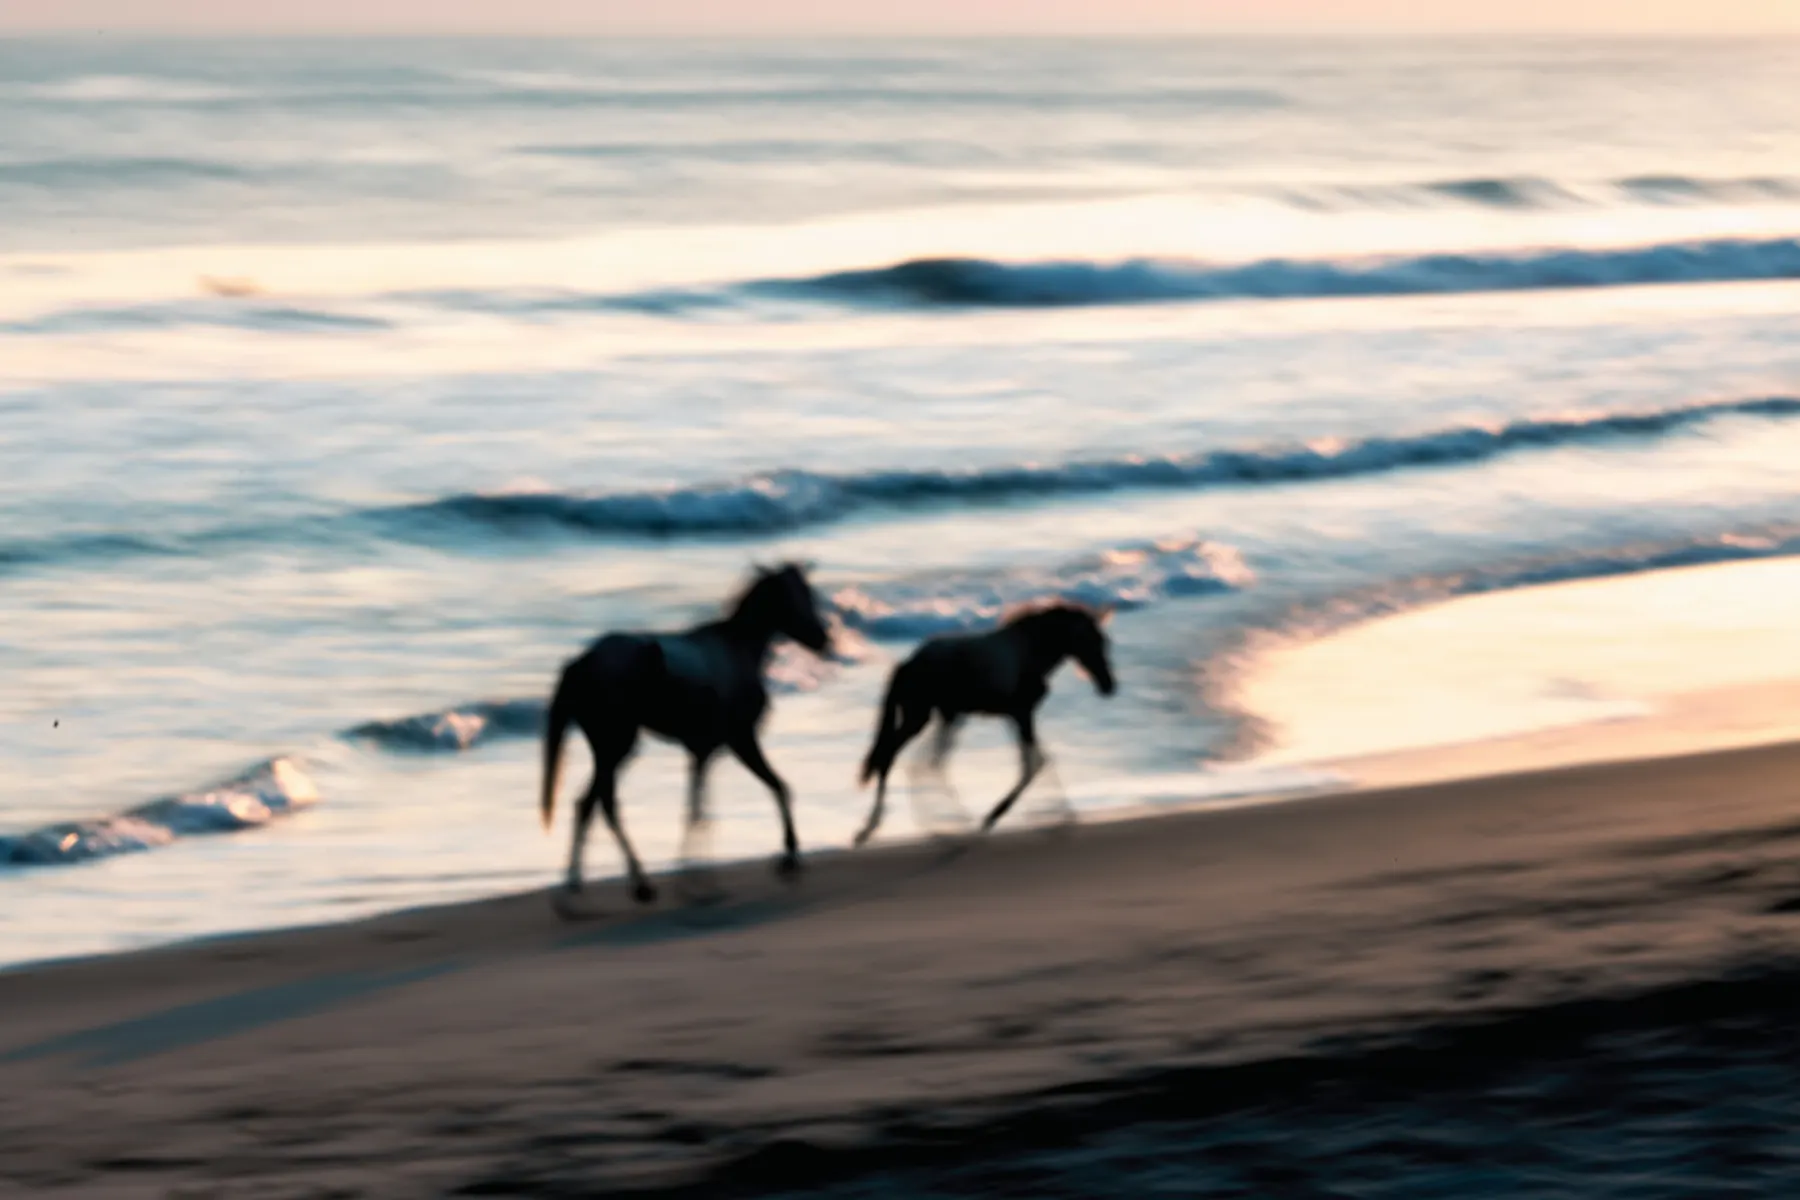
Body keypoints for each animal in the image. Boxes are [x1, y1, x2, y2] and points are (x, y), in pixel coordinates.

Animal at [540, 562, 831, 905]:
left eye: (808, 592)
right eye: (789, 597)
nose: (823, 639)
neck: (737, 651)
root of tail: (580, 662)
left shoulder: (703, 751)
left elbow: (701, 809)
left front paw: (700, 881)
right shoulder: (741, 740)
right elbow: (765, 791)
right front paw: (785, 859)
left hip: (610, 750)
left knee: (590, 804)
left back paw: (590, 888)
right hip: (615, 746)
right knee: (599, 804)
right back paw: (624, 886)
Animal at [853, 602, 1116, 846]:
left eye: (1104, 641)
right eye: (1092, 640)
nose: (1109, 685)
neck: (1028, 650)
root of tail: (907, 663)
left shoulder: (1015, 717)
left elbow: (1040, 760)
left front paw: (1058, 812)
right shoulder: (1022, 714)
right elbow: (1032, 765)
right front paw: (995, 815)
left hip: (942, 717)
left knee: (926, 761)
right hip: (920, 718)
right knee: (893, 757)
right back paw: (876, 826)